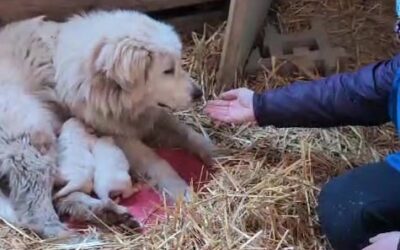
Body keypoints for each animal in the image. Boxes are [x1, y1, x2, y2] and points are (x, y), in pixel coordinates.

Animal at [54, 9, 216, 202]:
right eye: (168, 71)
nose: (199, 93)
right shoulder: (119, 136)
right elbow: (157, 161)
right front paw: (180, 189)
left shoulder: (153, 115)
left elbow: (186, 132)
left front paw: (213, 151)